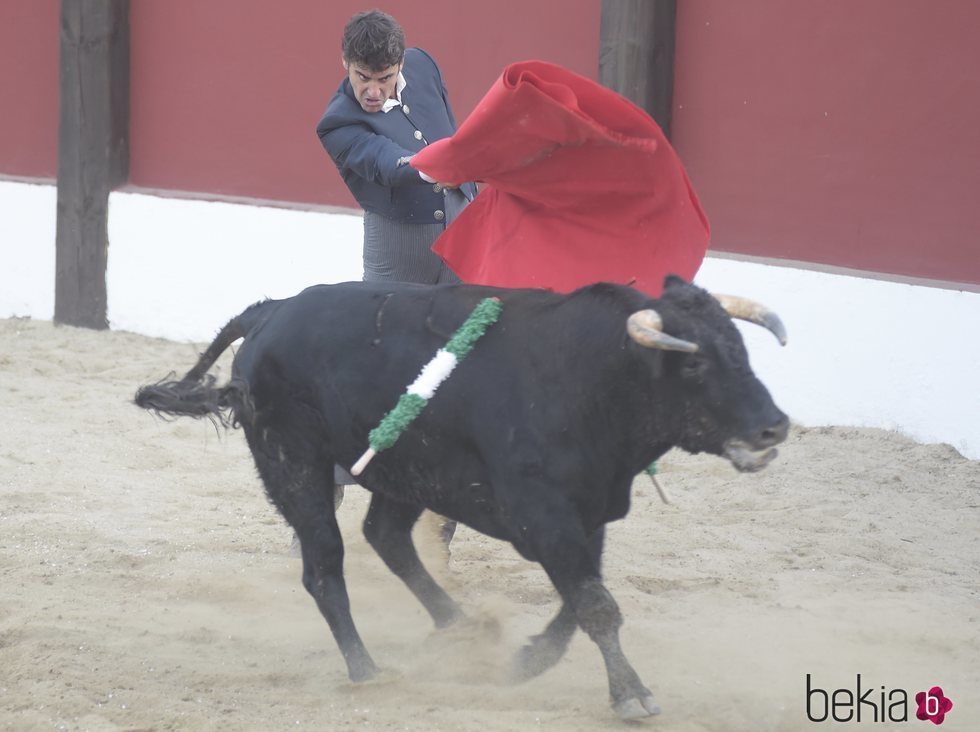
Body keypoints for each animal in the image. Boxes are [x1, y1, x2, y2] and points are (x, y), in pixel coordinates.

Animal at [134, 276, 788, 720]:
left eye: (742, 351)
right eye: (695, 365)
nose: (773, 428)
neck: (588, 376)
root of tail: (273, 308)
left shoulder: (588, 514)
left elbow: (582, 601)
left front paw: (527, 661)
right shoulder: (545, 518)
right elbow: (595, 604)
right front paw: (631, 694)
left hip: (407, 468)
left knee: (386, 537)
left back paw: (461, 626)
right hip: (295, 464)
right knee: (325, 565)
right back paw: (368, 670)